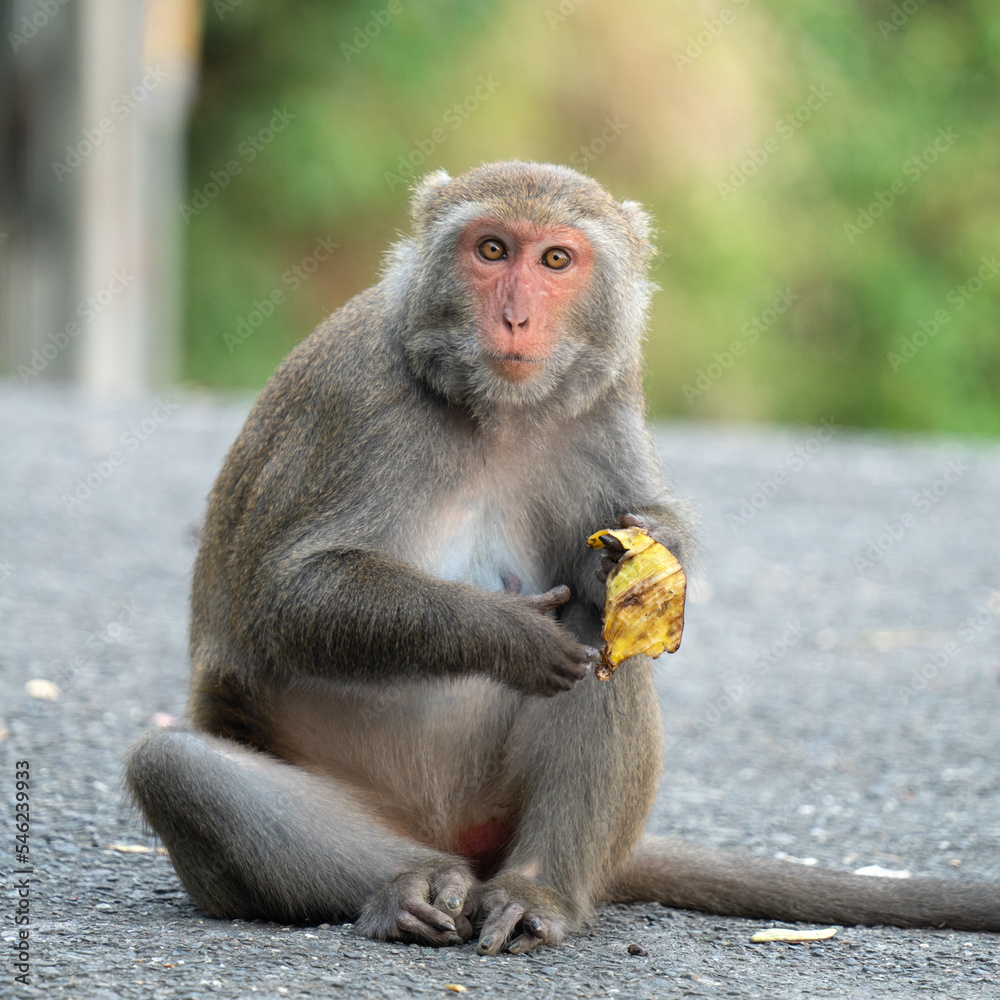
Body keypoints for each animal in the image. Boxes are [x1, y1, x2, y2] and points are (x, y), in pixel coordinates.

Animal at [124, 161, 1000, 954]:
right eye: (490, 249)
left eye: (554, 260)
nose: (514, 317)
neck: (496, 414)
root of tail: (463, 846)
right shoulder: (359, 401)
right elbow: (287, 600)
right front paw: (506, 633)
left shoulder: (605, 405)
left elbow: (626, 576)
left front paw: (650, 557)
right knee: (174, 766)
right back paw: (408, 884)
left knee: (606, 641)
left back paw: (533, 892)